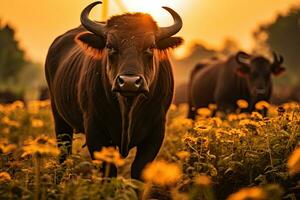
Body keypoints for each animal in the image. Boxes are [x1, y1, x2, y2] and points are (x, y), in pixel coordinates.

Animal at [44, 1, 183, 180]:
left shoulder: (156, 132)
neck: (128, 107)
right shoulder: (96, 132)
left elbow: (138, 170)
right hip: (59, 119)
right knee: (63, 154)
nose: (129, 82)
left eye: (151, 47)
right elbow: (109, 172)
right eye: (110, 46)